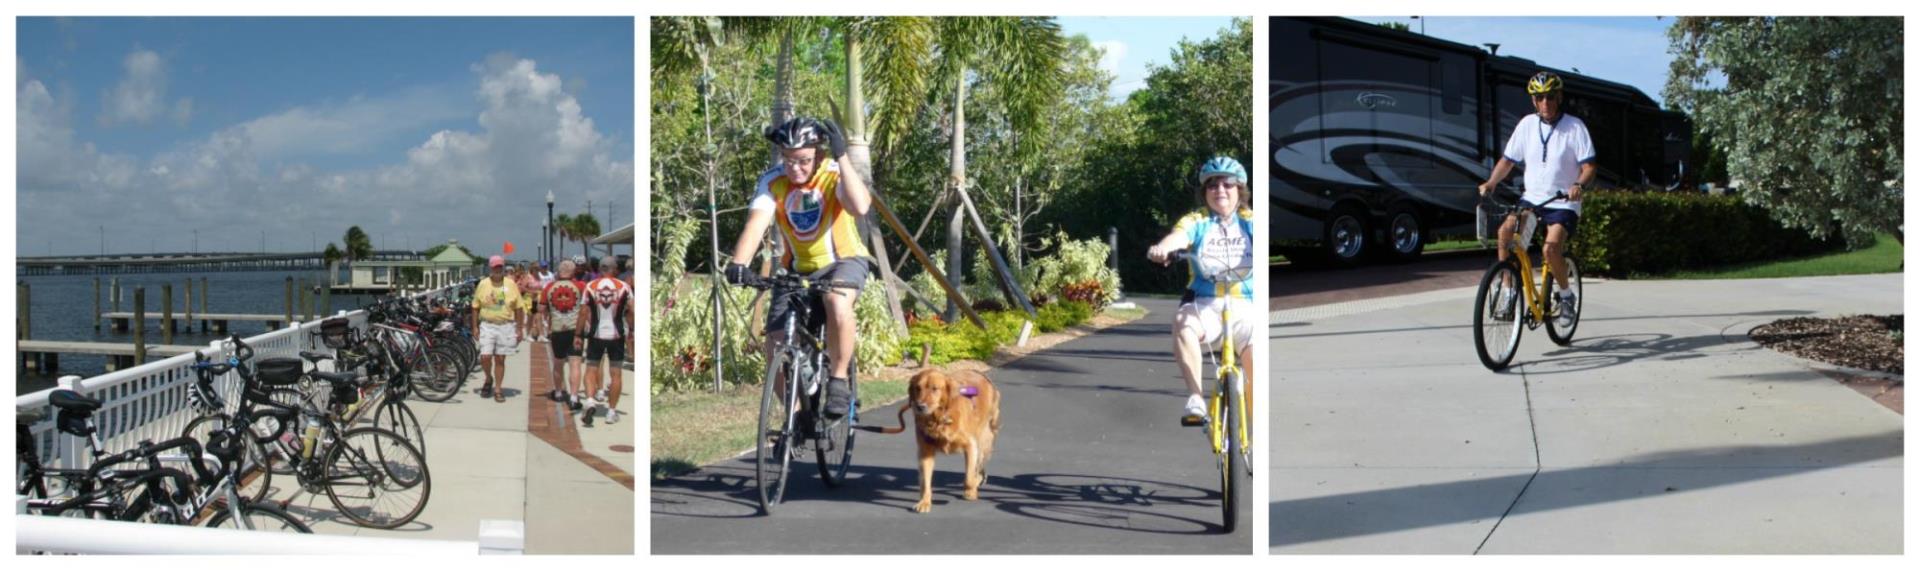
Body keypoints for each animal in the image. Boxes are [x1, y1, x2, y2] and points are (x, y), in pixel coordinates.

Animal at [879, 369, 1006, 511]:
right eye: (918, 388)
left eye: (935, 389)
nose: (920, 406)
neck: (938, 419)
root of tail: (978, 372)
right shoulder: (925, 452)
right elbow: (926, 482)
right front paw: (924, 502)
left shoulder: (971, 445)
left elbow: (968, 477)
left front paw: (971, 491)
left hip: (983, 440)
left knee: (979, 464)